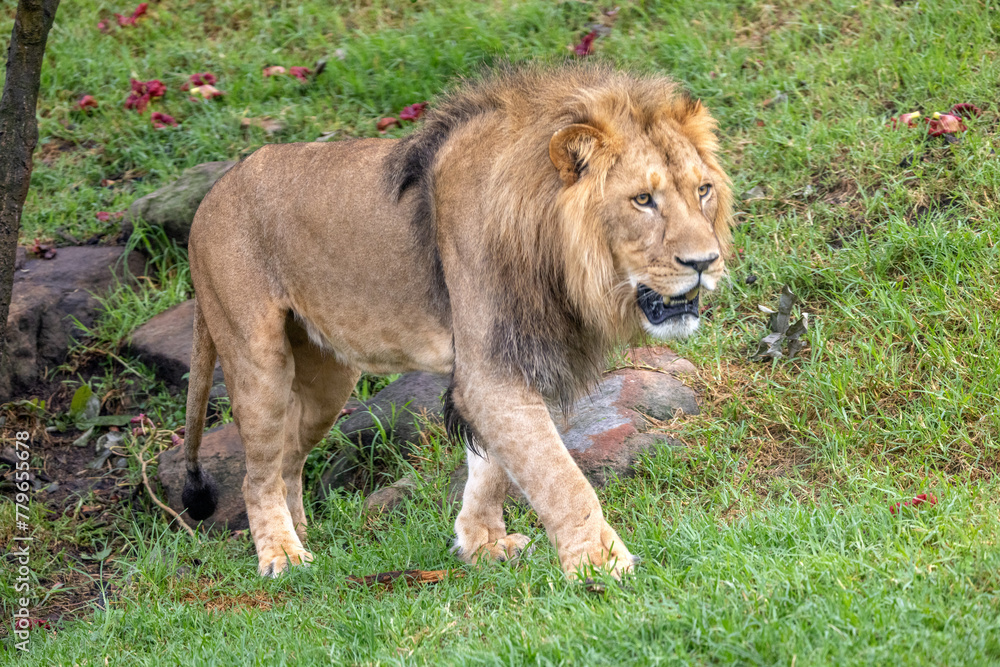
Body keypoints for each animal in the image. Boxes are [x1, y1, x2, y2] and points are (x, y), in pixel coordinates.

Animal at [181, 62, 732, 579]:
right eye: (643, 199)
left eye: (703, 190)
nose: (705, 262)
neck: (559, 262)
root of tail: (210, 197)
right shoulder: (492, 369)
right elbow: (558, 476)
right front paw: (600, 565)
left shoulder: (525, 357)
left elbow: (494, 469)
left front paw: (482, 543)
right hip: (258, 360)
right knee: (256, 475)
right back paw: (281, 554)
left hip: (328, 380)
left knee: (289, 458)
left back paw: (300, 531)